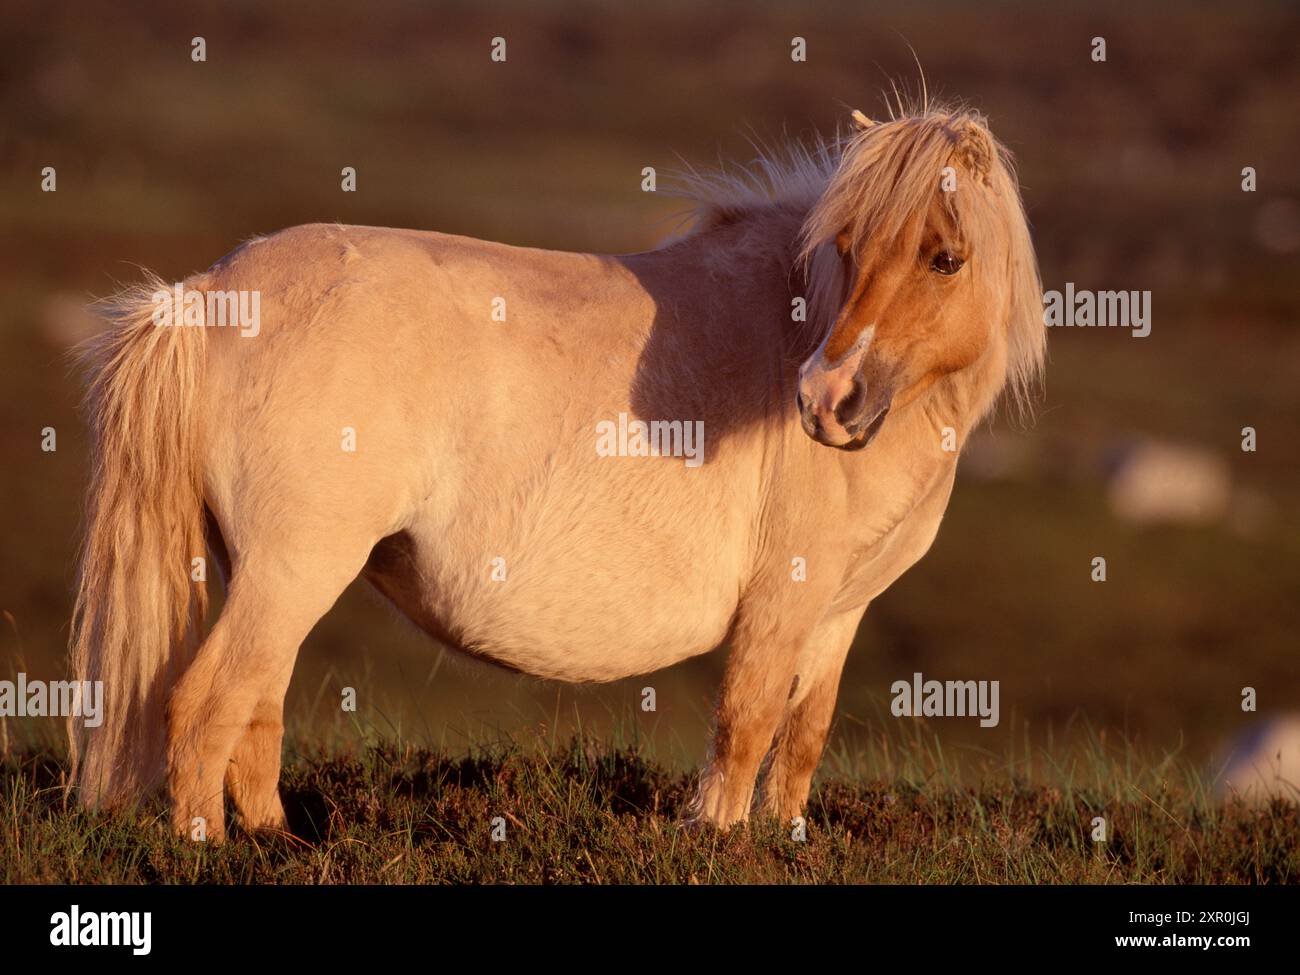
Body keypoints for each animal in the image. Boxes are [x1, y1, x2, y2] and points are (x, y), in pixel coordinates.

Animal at [68, 105, 1045, 842]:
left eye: (944, 258)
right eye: (847, 244)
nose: (826, 402)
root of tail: (204, 295)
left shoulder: (839, 611)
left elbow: (801, 736)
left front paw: (784, 838)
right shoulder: (780, 603)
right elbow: (747, 722)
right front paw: (720, 837)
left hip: (270, 576)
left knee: (255, 707)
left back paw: (278, 839)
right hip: (292, 568)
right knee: (206, 704)